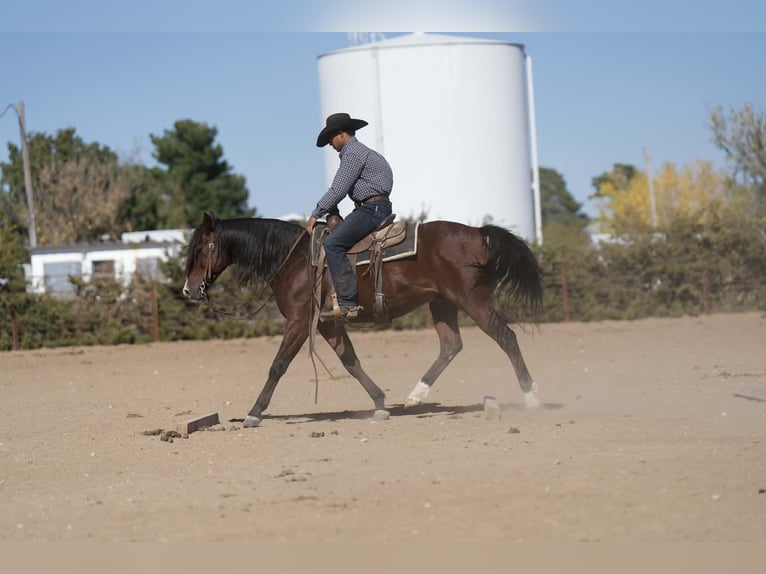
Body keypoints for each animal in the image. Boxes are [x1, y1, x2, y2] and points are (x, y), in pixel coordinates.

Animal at [182, 212, 543, 428]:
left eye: (200, 250)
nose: (188, 289)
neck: (294, 260)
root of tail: (477, 233)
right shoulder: (328, 324)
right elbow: (351, 362)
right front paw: (380, 403)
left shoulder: (299, 321)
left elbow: (278, 365)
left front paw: (254, 413)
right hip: (442, 303)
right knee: (451, 345)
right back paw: (414, 396)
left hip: (472, 300)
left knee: (506, 337)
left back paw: (532, 397)